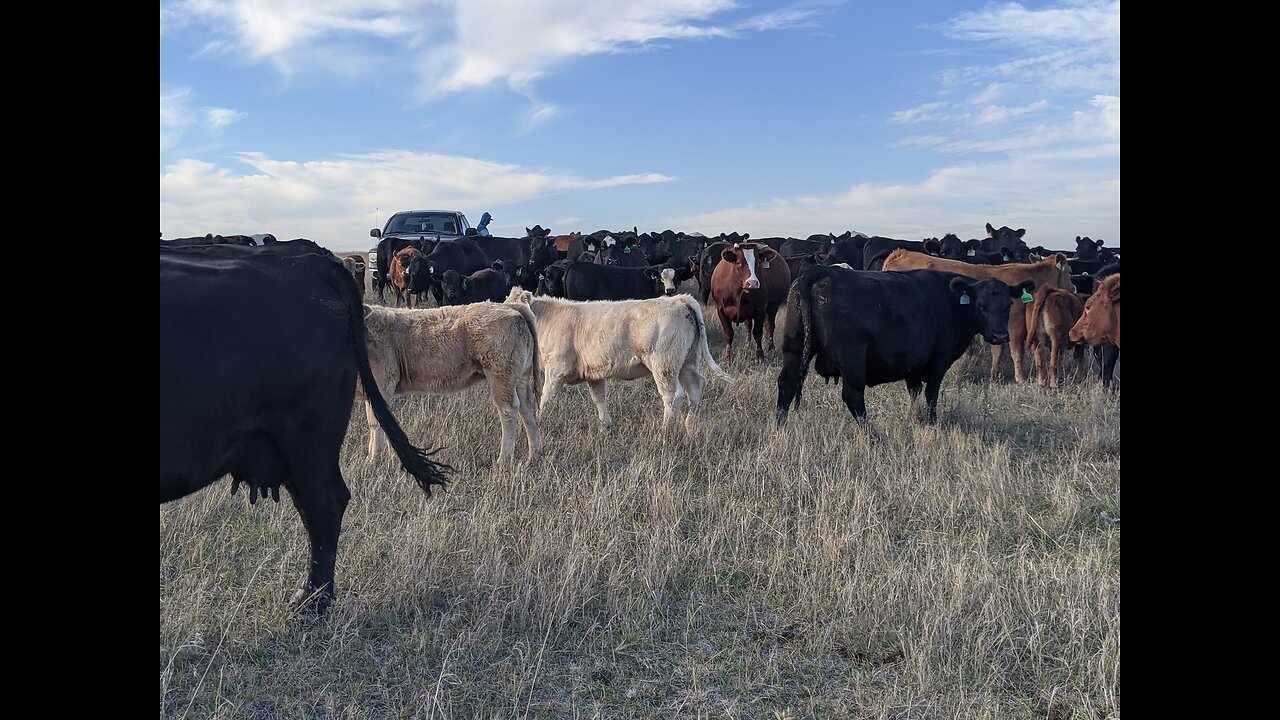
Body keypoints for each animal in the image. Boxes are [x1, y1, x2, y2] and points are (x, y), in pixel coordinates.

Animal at [360, 301, 540, 458]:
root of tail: (509, 306)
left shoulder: (382, 384)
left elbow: (376, 422)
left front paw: (373, 459)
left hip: (501, 376)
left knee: (508, 410)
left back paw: (504, 459)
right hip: (521, 377)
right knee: (527, 409)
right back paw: (533, 457)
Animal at [506, 286, 732, 430]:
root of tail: (678, 299)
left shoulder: (556, 371)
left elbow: (546, 400)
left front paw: (537, 424)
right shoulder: (594, 374)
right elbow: (599, 399)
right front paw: (605, 427)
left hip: (664, 365)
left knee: (673, 395)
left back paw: (666, 430)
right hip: (688, 362)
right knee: (696, 386)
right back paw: (690, 425)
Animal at [773, 265, 1034, 422]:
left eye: (1008, 305)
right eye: (980, 306)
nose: (999, 336)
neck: (951, 301)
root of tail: (820, 270)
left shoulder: (913, 363)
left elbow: (915, 392)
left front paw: (913, 418)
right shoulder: (939, 359)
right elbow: (931, 393)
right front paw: (931, 422)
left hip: (794, 348)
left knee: (787, 384)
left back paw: (780, 425)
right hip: (852, 357)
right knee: (852, 396)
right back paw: (874, 437)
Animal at [880, 248, 1070, 381]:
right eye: (1069, 271)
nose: (1074, 286)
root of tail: (900, 253)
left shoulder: (999, 329)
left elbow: (997, 351)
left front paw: (994, 375)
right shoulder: (1014, 326)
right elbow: (1016, 353)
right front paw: (1020, 380)